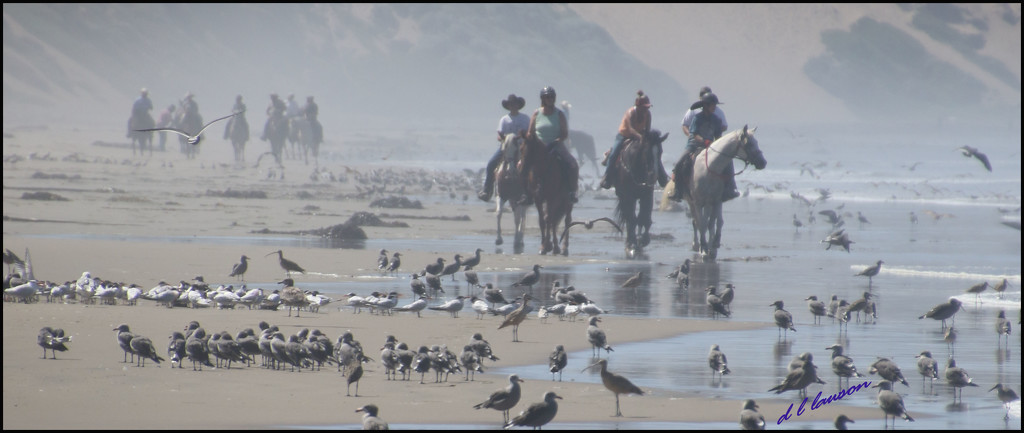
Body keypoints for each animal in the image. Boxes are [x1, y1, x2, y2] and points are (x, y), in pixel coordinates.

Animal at [610, 128, 667, 257]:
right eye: (646, 151)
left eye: (660, 152)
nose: (653, 176)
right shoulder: (628, 196)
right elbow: (632, 219)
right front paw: (632, 244)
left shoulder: (647, 194)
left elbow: (644, 217)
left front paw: (643, 240)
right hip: (623, 197)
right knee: (628, 218)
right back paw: (629, 242)